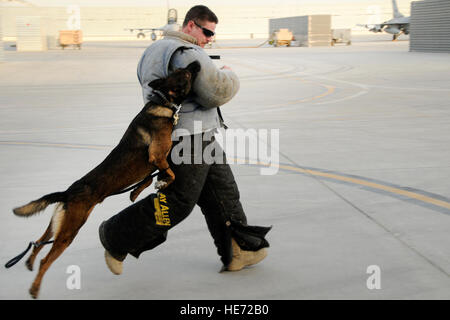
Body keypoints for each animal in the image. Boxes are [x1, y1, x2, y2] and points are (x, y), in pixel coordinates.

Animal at [11, 60, 200, 300]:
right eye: (185, 74)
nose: (197, 62)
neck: (163, 102)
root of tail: (67, 193)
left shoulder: (154, 162)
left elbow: (147, 180)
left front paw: (135, 192)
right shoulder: (157, 156)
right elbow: (169, 174)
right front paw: (163, 182)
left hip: (58, 226)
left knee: (37, 243)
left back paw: (29, 262)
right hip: (69, 232)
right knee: (46, 259)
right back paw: (35, 288)